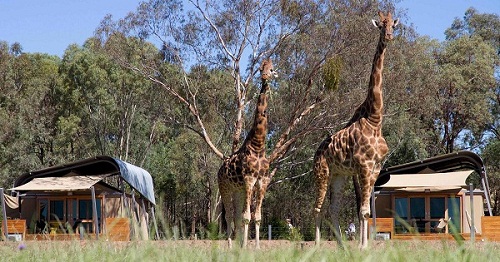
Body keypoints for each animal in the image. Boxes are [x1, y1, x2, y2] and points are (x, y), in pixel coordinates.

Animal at [217, 57, 278, 248]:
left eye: (271, 69)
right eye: (260, 68)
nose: (265, 76)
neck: (258, 146)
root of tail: (219, 170)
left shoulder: (262, 181)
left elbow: (256, 217)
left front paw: (256, 247)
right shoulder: (249, 180)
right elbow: (246, 217)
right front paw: (244, 247)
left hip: (238, 191)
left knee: (235, 217)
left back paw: (236, 244)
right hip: (225, 187)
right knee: (229, 216)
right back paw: (230, 246)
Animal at [312, 11, 398, 249]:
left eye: (394, 25)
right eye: (381, 25)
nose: (389, 36)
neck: (375, 119)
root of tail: (315, 154)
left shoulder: (375, 168)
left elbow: (365, 211)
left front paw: (362, 246)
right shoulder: (364, 167)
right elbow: (363, 211)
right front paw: (362, 246)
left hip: (338, 176)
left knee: (332, 210)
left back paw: (342, 247)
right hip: (322, 173)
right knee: (317, 209)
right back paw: (317, 246)